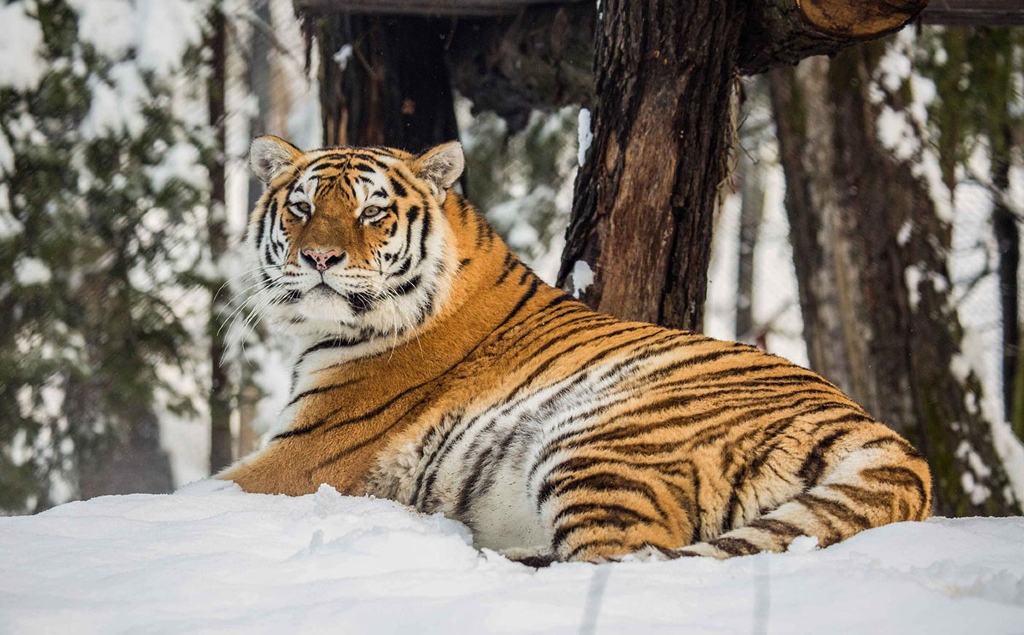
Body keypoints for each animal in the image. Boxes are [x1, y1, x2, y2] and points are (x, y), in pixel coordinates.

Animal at [218, 134, 932, 563]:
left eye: (372, 212)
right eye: (301, 208)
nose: (319, 258)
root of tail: (889, 440)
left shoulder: (301, 458)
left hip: (596, 443)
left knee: (624, 559)